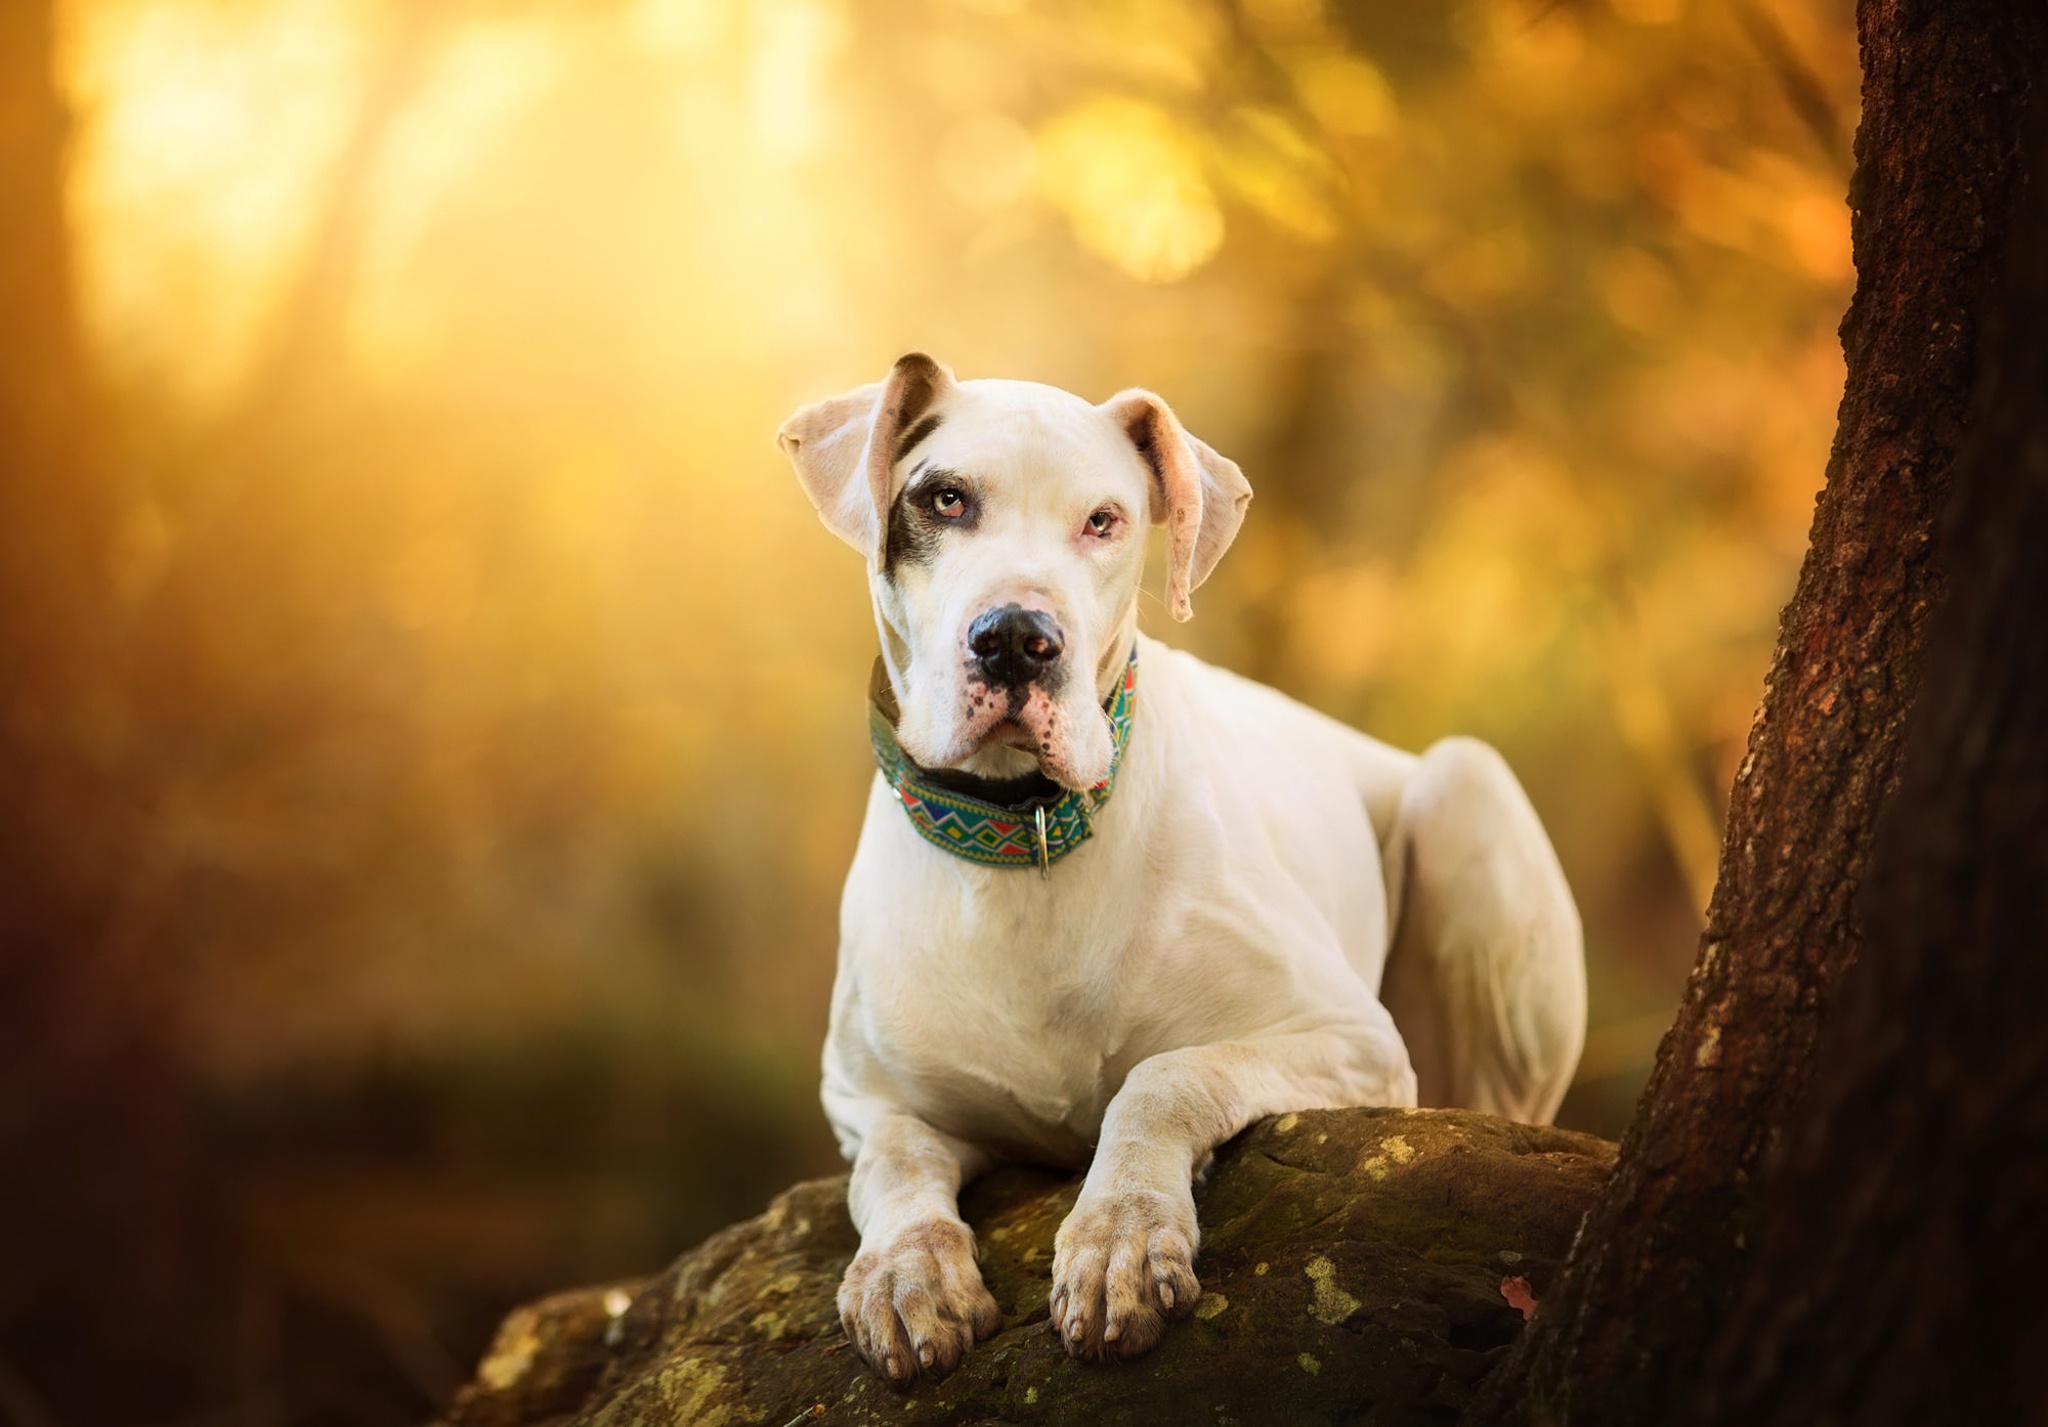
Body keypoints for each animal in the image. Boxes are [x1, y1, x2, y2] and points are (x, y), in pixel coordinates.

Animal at [774, 354, 1589, 1384]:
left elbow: (1163, 1076)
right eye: (945, 498)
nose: (1018, 637)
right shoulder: (866, 1097)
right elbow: (894, 1162)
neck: (1024, 840)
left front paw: (1120, 1232)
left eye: (1104, 519)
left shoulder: (1349, 1037)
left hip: (1465, 793)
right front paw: (904, 1268)